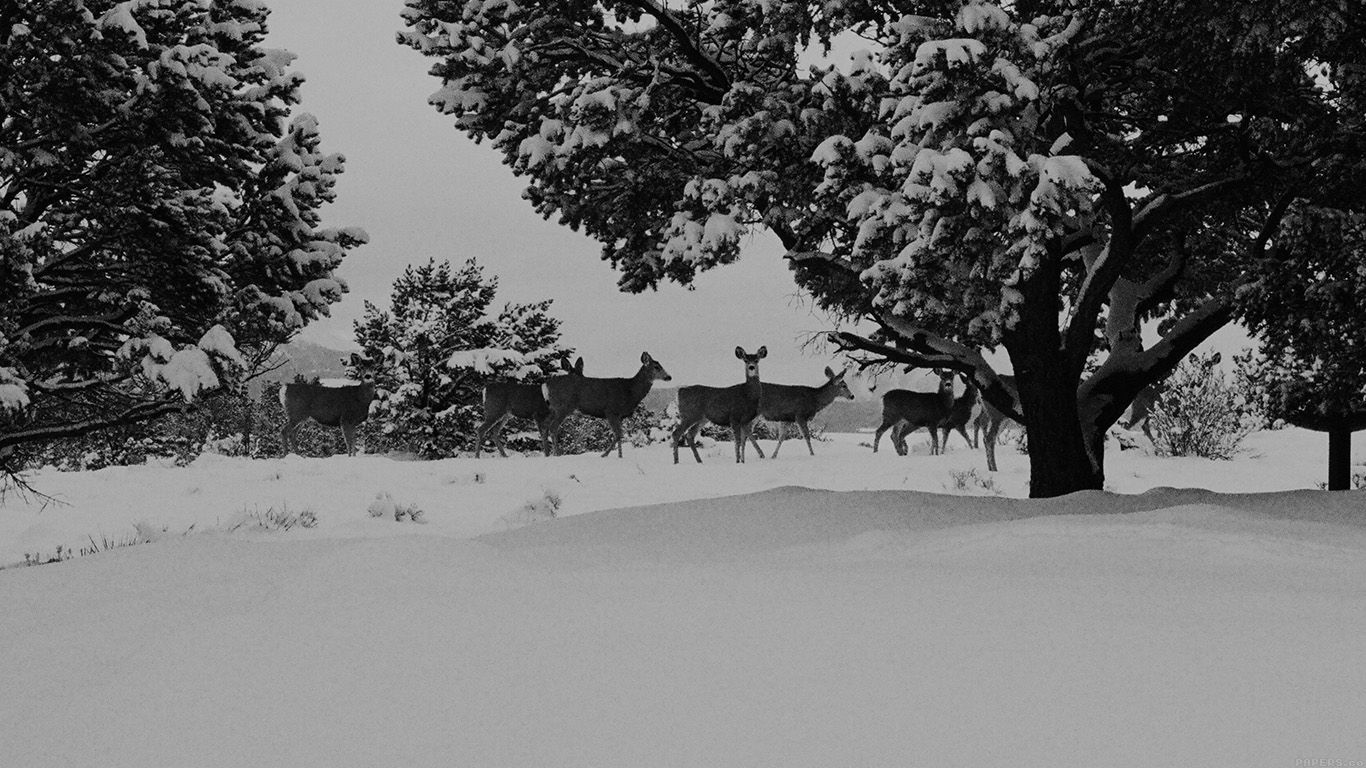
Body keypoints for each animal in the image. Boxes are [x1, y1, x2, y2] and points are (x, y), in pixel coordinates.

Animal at [542, 351, 671, 458]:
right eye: (656, 367)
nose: (669, 377)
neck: (630, 391)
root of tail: (546, 385)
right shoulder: (611, 411)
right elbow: (618, 434)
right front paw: (604, 454)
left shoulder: (620, 416)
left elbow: (620, 435)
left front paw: (620, 456)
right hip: (563, 407)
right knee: (553, 428)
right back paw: (558, 454)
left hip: (553, 408)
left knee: (545, 427)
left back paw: (548, 454)